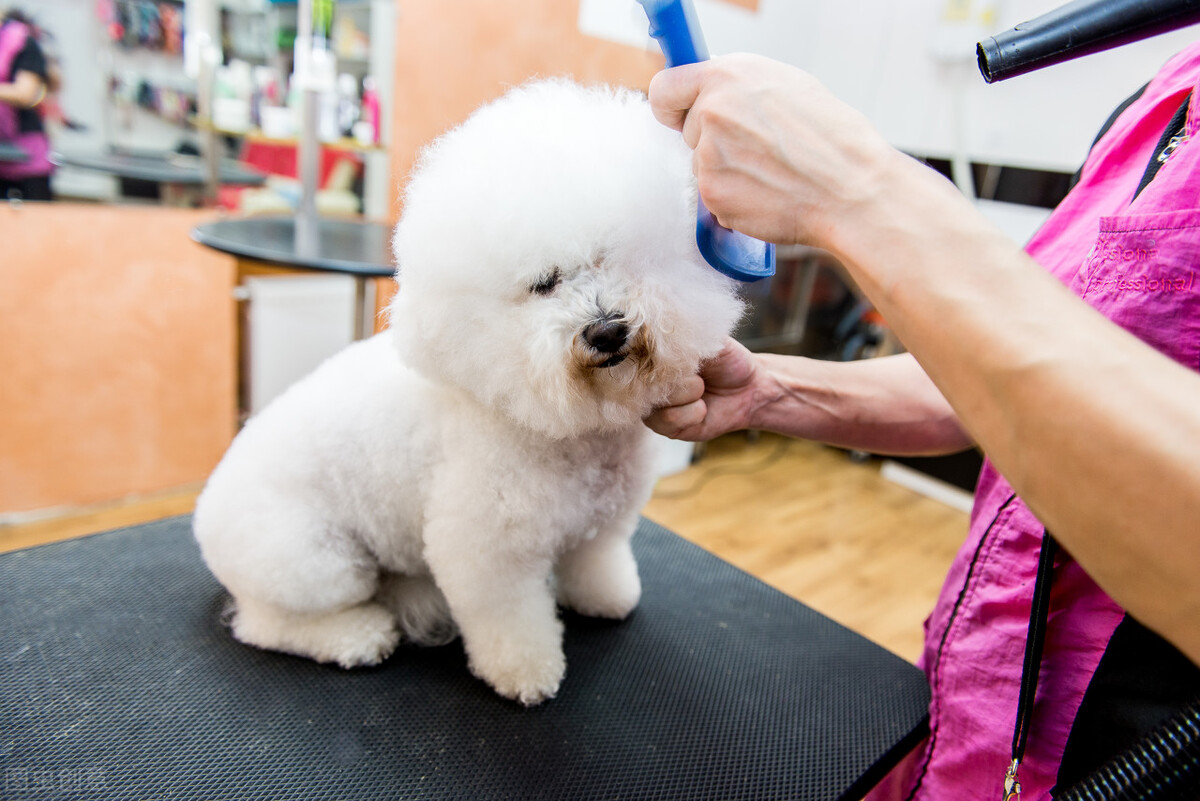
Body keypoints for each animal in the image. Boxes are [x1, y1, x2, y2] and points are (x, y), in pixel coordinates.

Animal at [190, 79, 739, 705]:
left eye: (615, 257)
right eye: (543, 284)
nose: (606, 330)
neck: (576, 436)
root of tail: (205, 513)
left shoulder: (603, 525)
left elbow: (595, 564)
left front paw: (605, 599)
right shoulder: (486, 549)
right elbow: (509, 619)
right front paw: (526, 673)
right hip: (312, 561)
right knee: (267, 623)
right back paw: (357, 635)